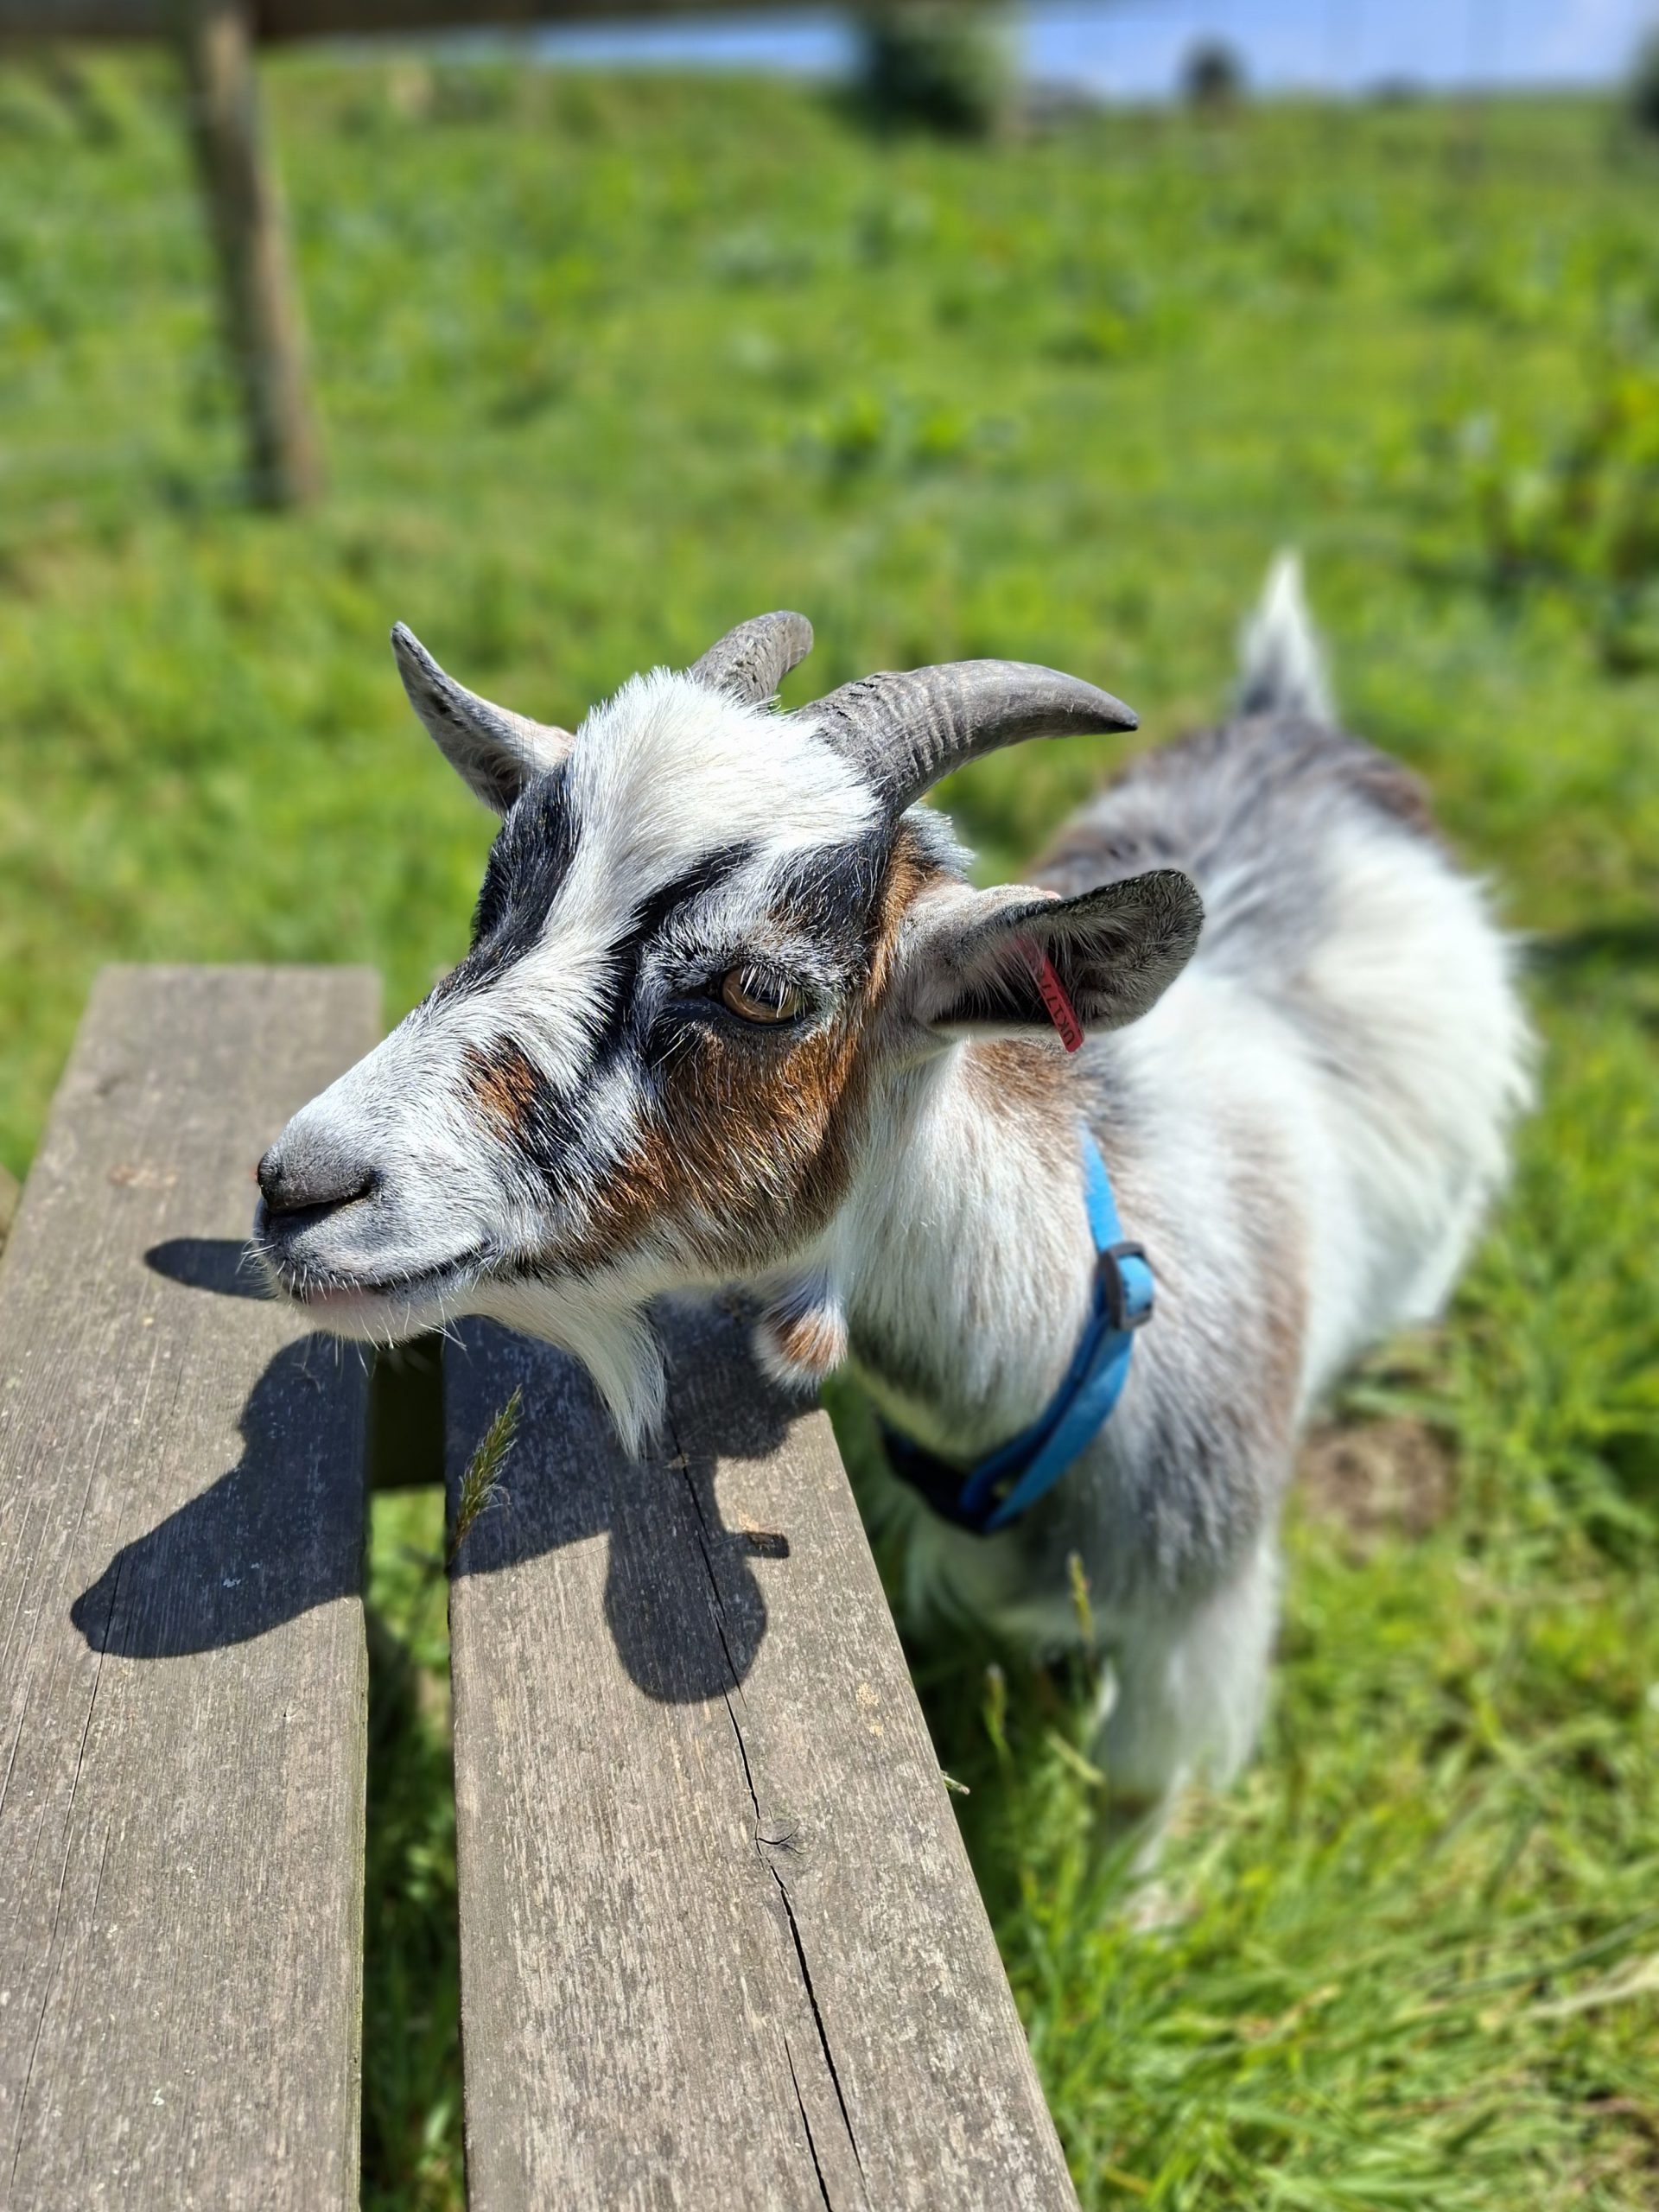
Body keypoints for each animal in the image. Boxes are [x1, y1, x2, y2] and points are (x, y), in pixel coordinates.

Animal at [256, 561, 1529, 1822]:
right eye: (496, 906)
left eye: (760, 988)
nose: (298, 1186)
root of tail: (1289, 724)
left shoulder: (1193, 1626)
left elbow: (1134, 1795)